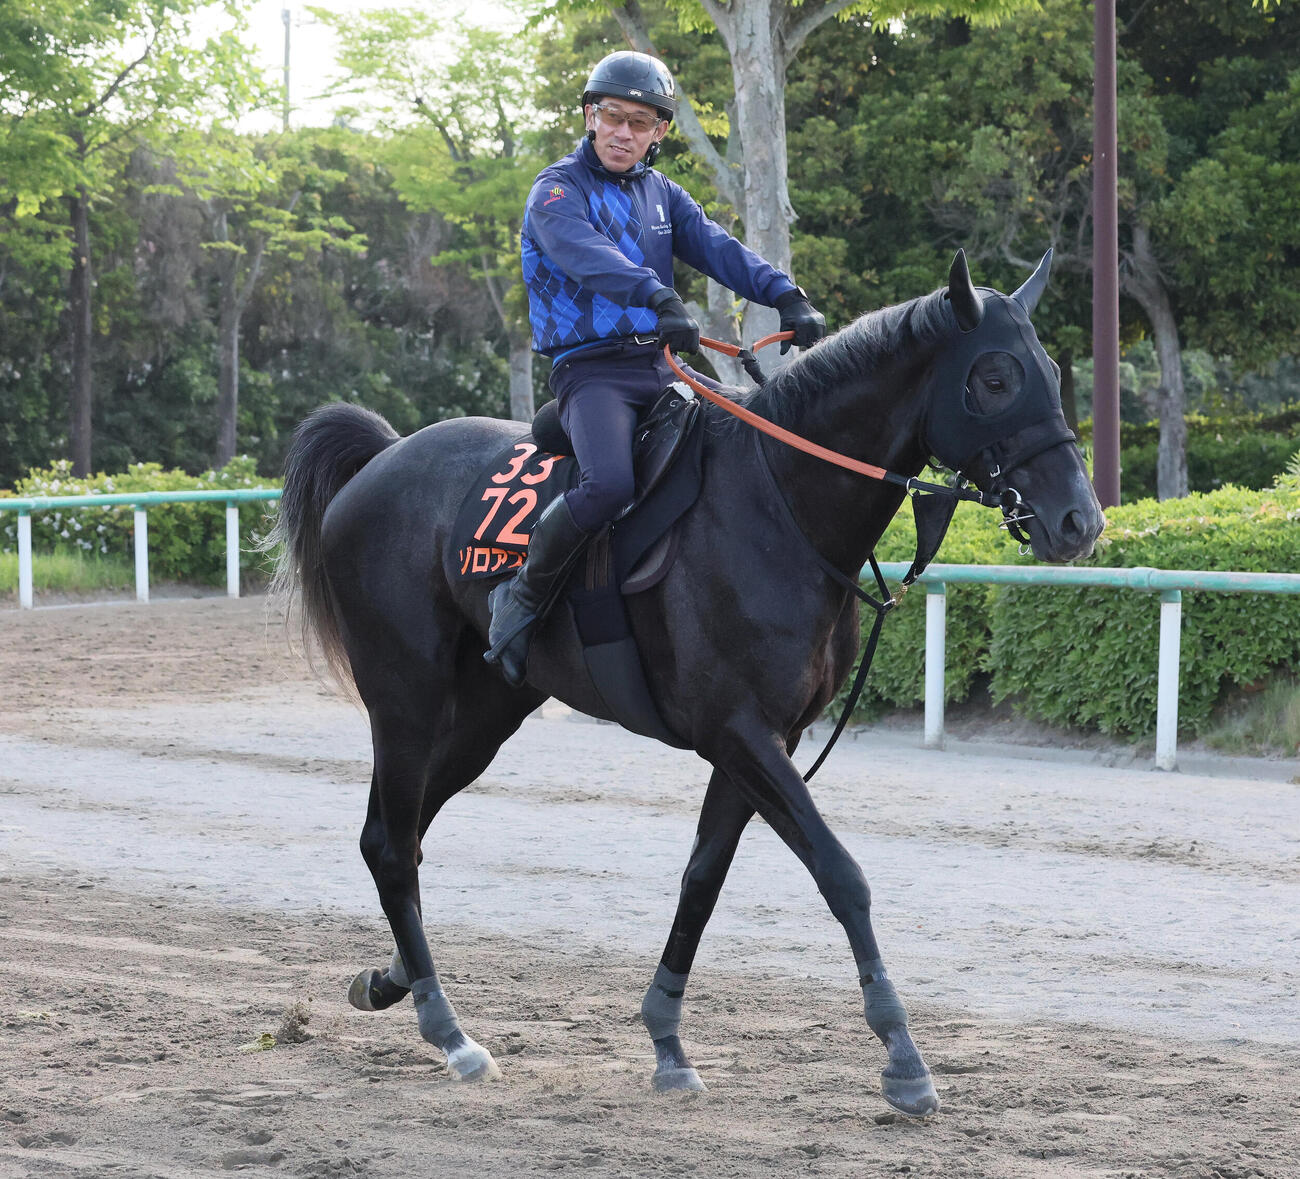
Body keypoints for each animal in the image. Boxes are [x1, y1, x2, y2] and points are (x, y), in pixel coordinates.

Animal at [269, 250, 1104, 1116]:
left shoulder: (763, 740)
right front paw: (903, 1055)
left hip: (484, 714)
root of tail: (381, 458)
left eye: (1051, 370)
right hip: (406, 698)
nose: (1080, 520)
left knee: (398, 835)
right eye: (997, 377)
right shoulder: (738, 730)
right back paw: (448, 1029)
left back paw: (392, 977)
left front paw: (667, 1037)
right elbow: (841, 872)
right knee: (394, 845)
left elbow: (702, 879)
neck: (778, 502)